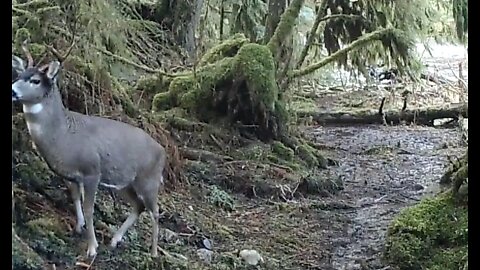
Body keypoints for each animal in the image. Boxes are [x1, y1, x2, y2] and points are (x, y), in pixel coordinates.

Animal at [11, 41, 167, 258]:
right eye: (18, 76)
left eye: (35, 80)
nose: (13, 91)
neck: (64, 135)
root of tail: (163, 151)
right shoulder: (71, 175)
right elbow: (76, 198)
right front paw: (79, 227)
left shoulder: (92, 170)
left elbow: (89, 208)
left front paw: (92, 248)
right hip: (125, 183)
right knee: (139, 205)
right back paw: (115, 240)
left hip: (149, 179)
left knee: (155, 211)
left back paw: (153, 253)